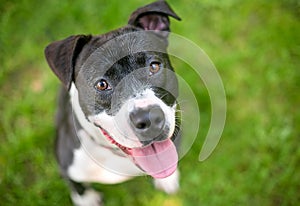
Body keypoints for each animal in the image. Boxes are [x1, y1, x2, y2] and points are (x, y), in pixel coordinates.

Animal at [44, 0, 180, 205]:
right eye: (102, 84)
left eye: (154, 66)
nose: (149, 119)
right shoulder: (67, 164)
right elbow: (77, 186)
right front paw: (87, 200)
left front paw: (168, 180)